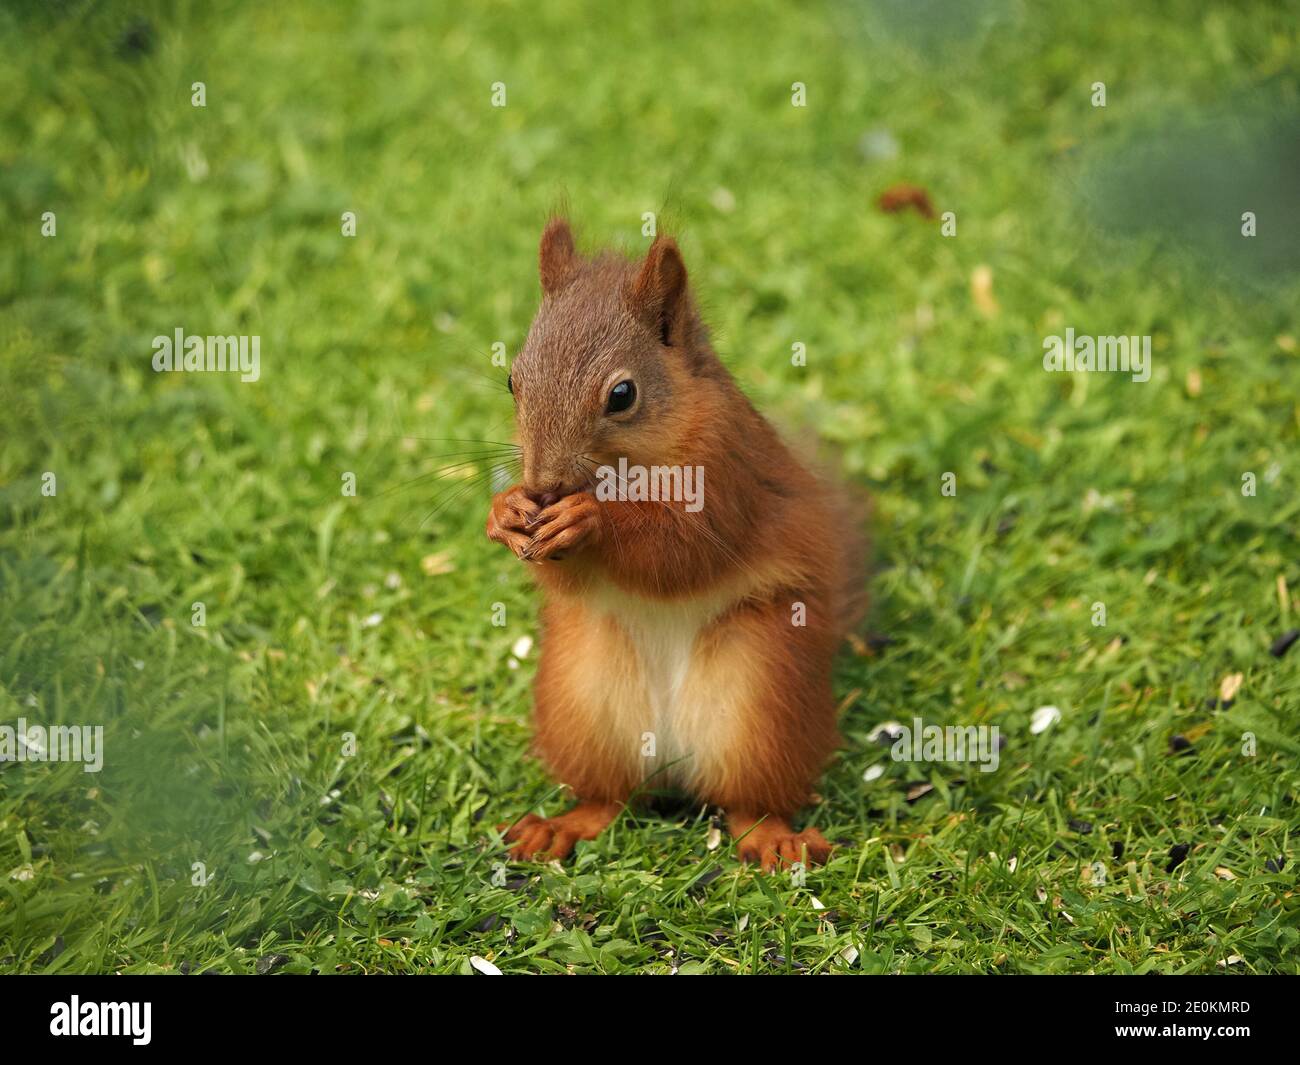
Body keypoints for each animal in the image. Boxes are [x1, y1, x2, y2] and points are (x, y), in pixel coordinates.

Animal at [487, 218, 867, 872]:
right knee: (609, 799)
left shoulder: (727, 473)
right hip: (581, 705)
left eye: (622, 395)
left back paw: (771, 836)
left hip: (762, 698)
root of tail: (670, 758)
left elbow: (681, 552)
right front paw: (506, 513)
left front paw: (591, 519)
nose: (543, 486)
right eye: (513, 380)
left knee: (748, 804)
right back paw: (561, 827)